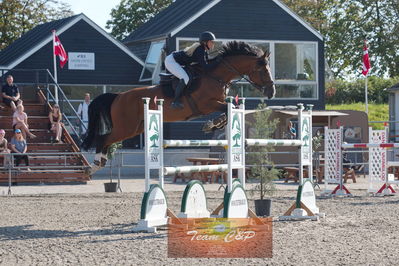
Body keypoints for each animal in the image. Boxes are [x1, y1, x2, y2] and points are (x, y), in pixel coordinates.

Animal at [81, 40, 276, 174]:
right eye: (263, 70)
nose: (272, 92)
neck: (215, 76)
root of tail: (119, 96)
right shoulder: (207, 104)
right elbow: (227, 109)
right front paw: (212, 124)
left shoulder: (216, 103)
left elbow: (230, 109)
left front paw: (214, 124)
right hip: (126, 127)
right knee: (104, 138)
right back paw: (95, 164)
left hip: (135, 128)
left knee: (107, 139)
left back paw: (100, 162)